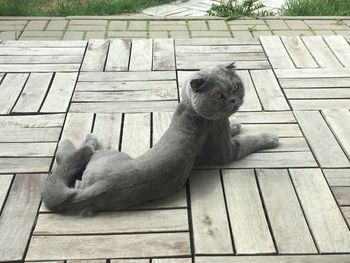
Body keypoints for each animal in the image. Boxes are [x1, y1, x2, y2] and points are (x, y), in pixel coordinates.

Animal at [42, 63, 278, 216]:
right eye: (218, 95)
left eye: (236, 86)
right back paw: (85, 139)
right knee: (79, 153)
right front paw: (270, 137)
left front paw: (236, 124)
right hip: (113, 153)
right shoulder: (226, 151)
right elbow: (250, 141)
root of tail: (99, 187)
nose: (234, 100)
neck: (189, 109)